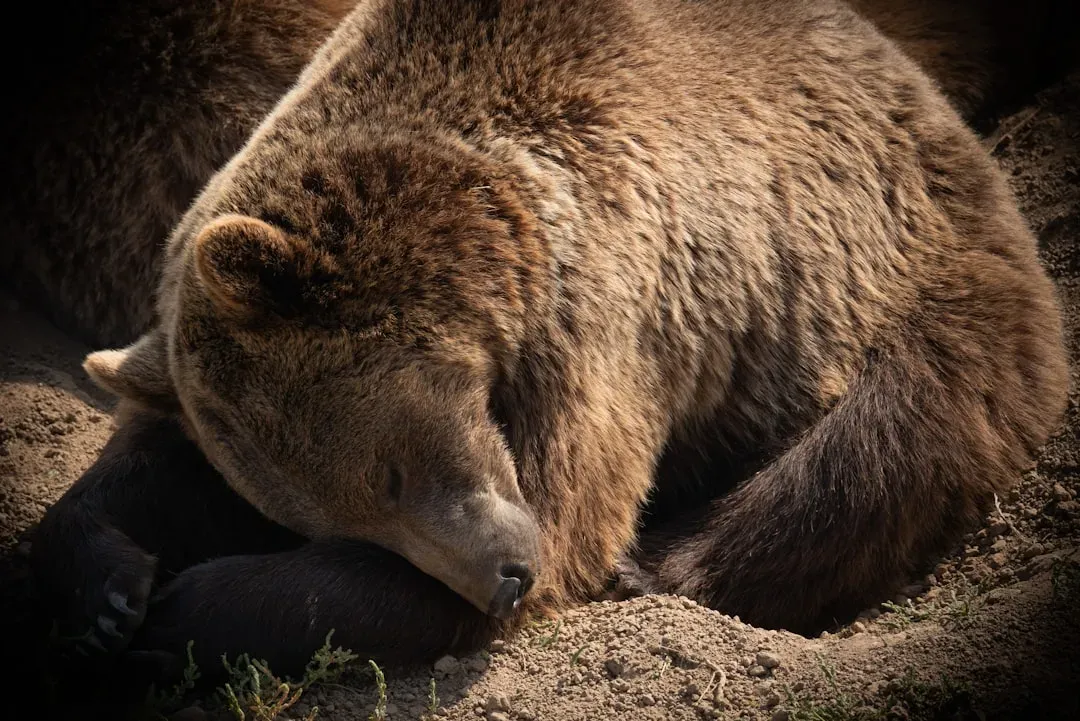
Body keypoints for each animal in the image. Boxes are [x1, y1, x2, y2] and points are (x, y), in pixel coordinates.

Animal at [23, 0, 1073, 692]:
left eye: (393, 473)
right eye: (334, 517)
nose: (503, 577)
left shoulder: (607, 304)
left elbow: (568, 515)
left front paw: (183, 609)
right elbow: (149, 457)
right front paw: (104, 591)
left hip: (889, 265)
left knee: (880, 441)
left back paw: (661, 563)